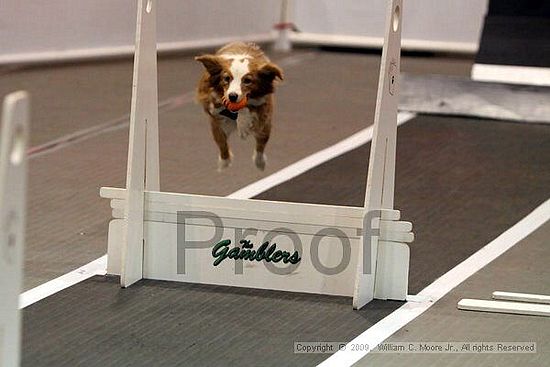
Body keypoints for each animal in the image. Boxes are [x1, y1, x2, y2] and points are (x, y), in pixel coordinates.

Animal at [196, 42, 284, 171]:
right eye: (226, 78)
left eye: (247, 80)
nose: (232, 96)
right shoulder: (214, 113)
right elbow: (221, 140)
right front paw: (224, 162)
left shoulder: (262, 109)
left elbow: (248, 110)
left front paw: (243, 125)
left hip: (265, 126)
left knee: (261, 144)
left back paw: (260, 162)